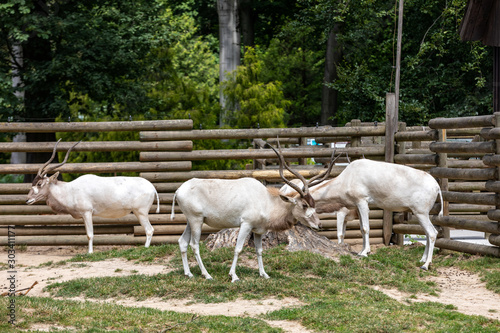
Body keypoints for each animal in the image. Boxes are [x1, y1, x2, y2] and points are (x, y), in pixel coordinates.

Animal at [25, 139, 159, 253]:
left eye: (39, 183)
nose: (27, 200)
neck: (70, 190)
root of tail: (152, 188)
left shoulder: (87, 213)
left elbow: (90, 234)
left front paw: (90, 253)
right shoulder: (84, 215)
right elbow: (87, 234)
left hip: (140, 212)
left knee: (149, 230)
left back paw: (145, 249)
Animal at [170, 141, 330, 282]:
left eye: (313, 204)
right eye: (304, 205)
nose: (319, 225)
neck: (265, 200)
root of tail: (179, 190)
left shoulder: (258, 230)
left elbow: (259, 250)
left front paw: (264, 274)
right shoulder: (246, 225)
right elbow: (238, 249)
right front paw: (234, 276)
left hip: (191, 221)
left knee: (182, 242)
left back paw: (188, 274)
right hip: (196, 220)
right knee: (194, 245)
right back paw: (207, 275)